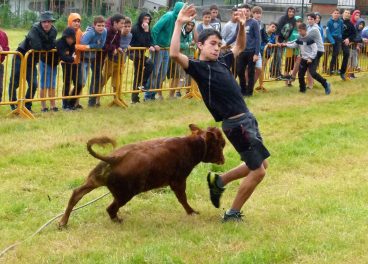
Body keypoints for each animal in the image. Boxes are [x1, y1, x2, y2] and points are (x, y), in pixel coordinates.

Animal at [59, 124, 226, 227]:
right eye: (221, 144)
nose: (223, 160)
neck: (191, 145)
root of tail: (114, 158)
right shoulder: (178, 181)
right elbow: (183, 199)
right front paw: (192, 212)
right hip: (124, 194)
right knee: (110, 208)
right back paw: (117, 220)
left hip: (94, 181)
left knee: (76, 194)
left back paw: (63, 223)